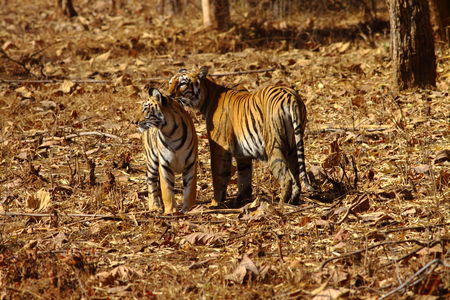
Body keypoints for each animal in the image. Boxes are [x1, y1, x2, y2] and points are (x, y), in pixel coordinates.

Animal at [167, 65, 314, 206]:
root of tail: (292, 97)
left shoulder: (219, 148)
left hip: (275, 145)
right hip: (293, 147)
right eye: (170, 83)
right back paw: (293, 201)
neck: (208, 94)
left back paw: (281, 202)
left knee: (285, 176)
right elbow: (244, 177)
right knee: (296, 176)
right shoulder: (242, 154)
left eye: (182, 83)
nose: (168, 95)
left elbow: (218, 176)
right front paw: (243, 200)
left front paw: (215, 203)